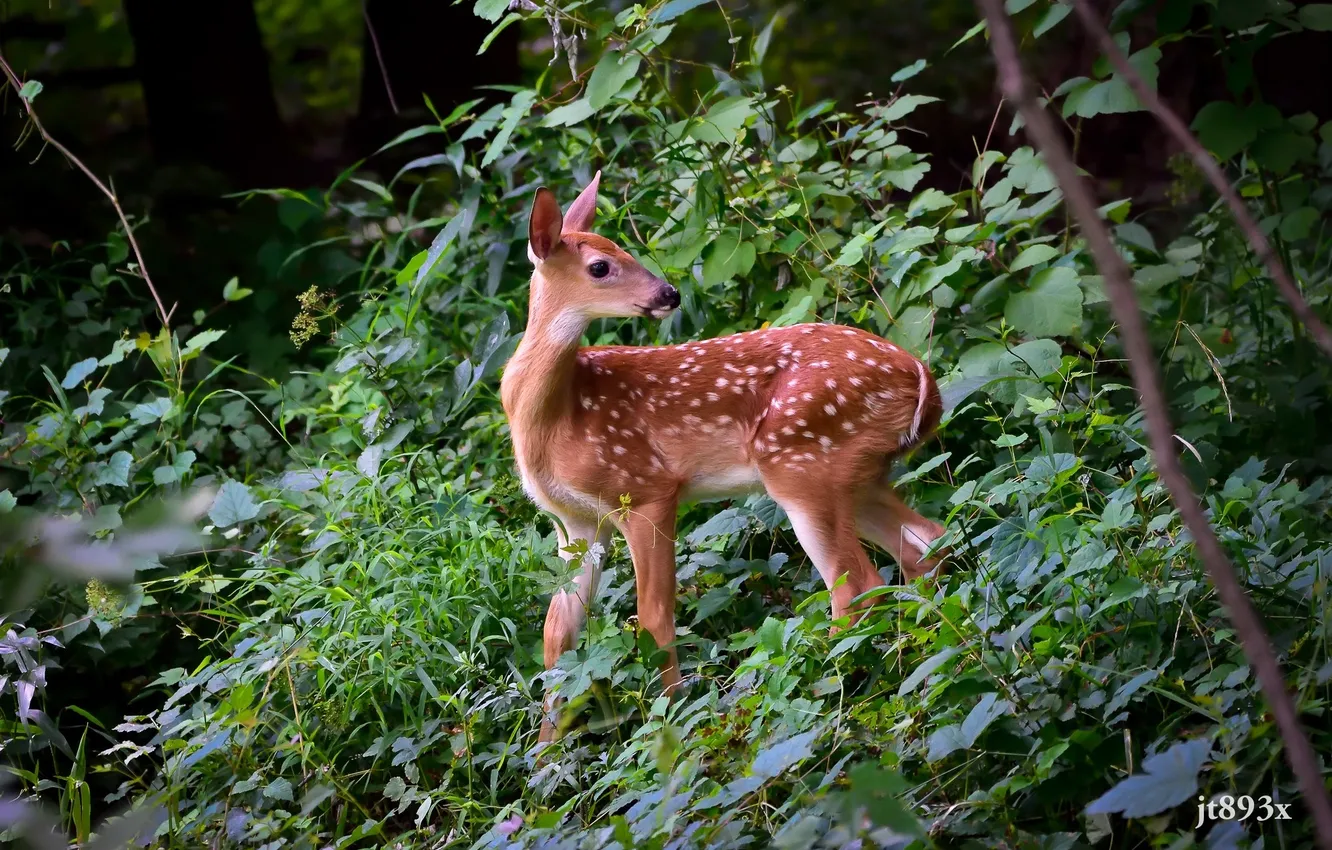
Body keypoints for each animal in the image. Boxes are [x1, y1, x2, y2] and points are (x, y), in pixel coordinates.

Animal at [499, 172, 950, 743]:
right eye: (601, 264)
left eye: (624, 249)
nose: (669, 294)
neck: (555, 419)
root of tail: (922, 377)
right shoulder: (575, 522)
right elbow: (557, 635)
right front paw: (545, 754)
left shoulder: (645, 489)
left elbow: (654, 617)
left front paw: (671, 723)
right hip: (856, 471)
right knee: (924, 542)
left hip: (803, 462)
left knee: (857, 585)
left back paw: (822, 688)